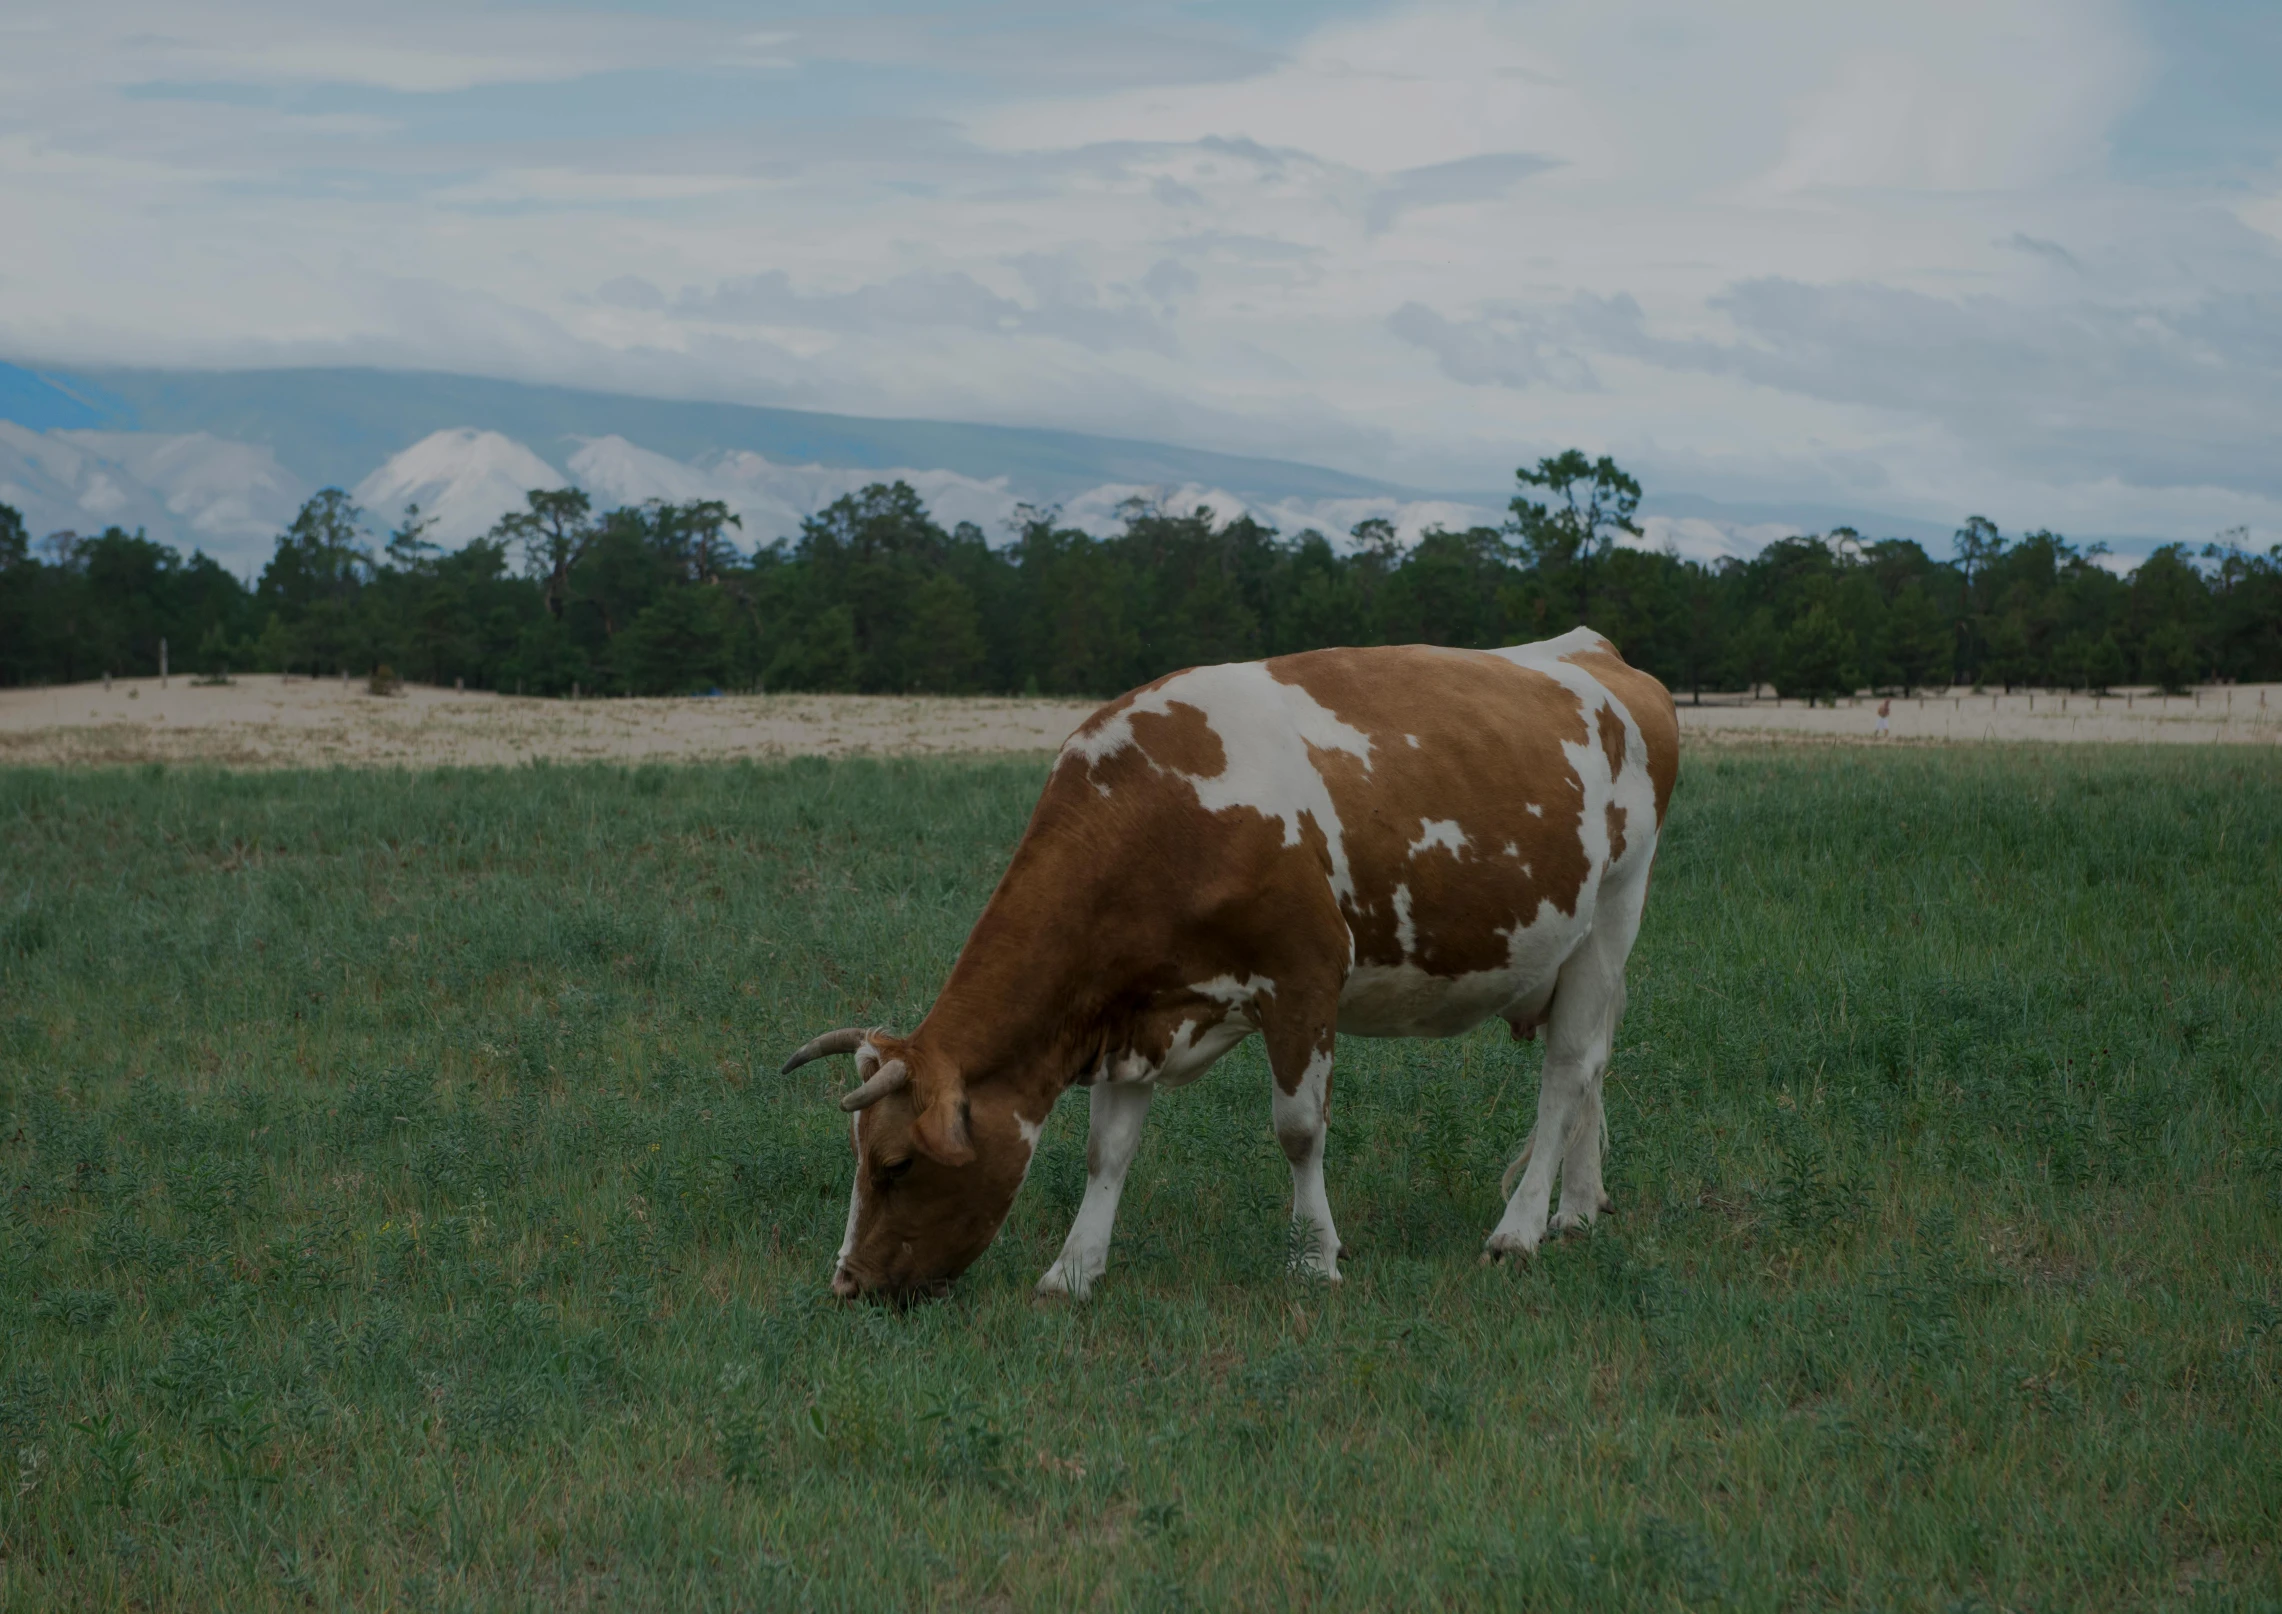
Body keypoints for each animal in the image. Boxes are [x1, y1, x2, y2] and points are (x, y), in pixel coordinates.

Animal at [785, 630, 1679, 1296]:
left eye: (896, 1163)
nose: (847, 1284)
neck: (1161, 814)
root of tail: (1594, 652)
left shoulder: (1304, 977)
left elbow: (1298, 1130)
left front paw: (1315, 1256)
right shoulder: (1133, 1012)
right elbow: (1107, 1147)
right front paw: (1073, 1271)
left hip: (1614, 909)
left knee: (1567, 1072)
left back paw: (1519, 1231)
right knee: (1594, 1065)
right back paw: (1577, 1209)